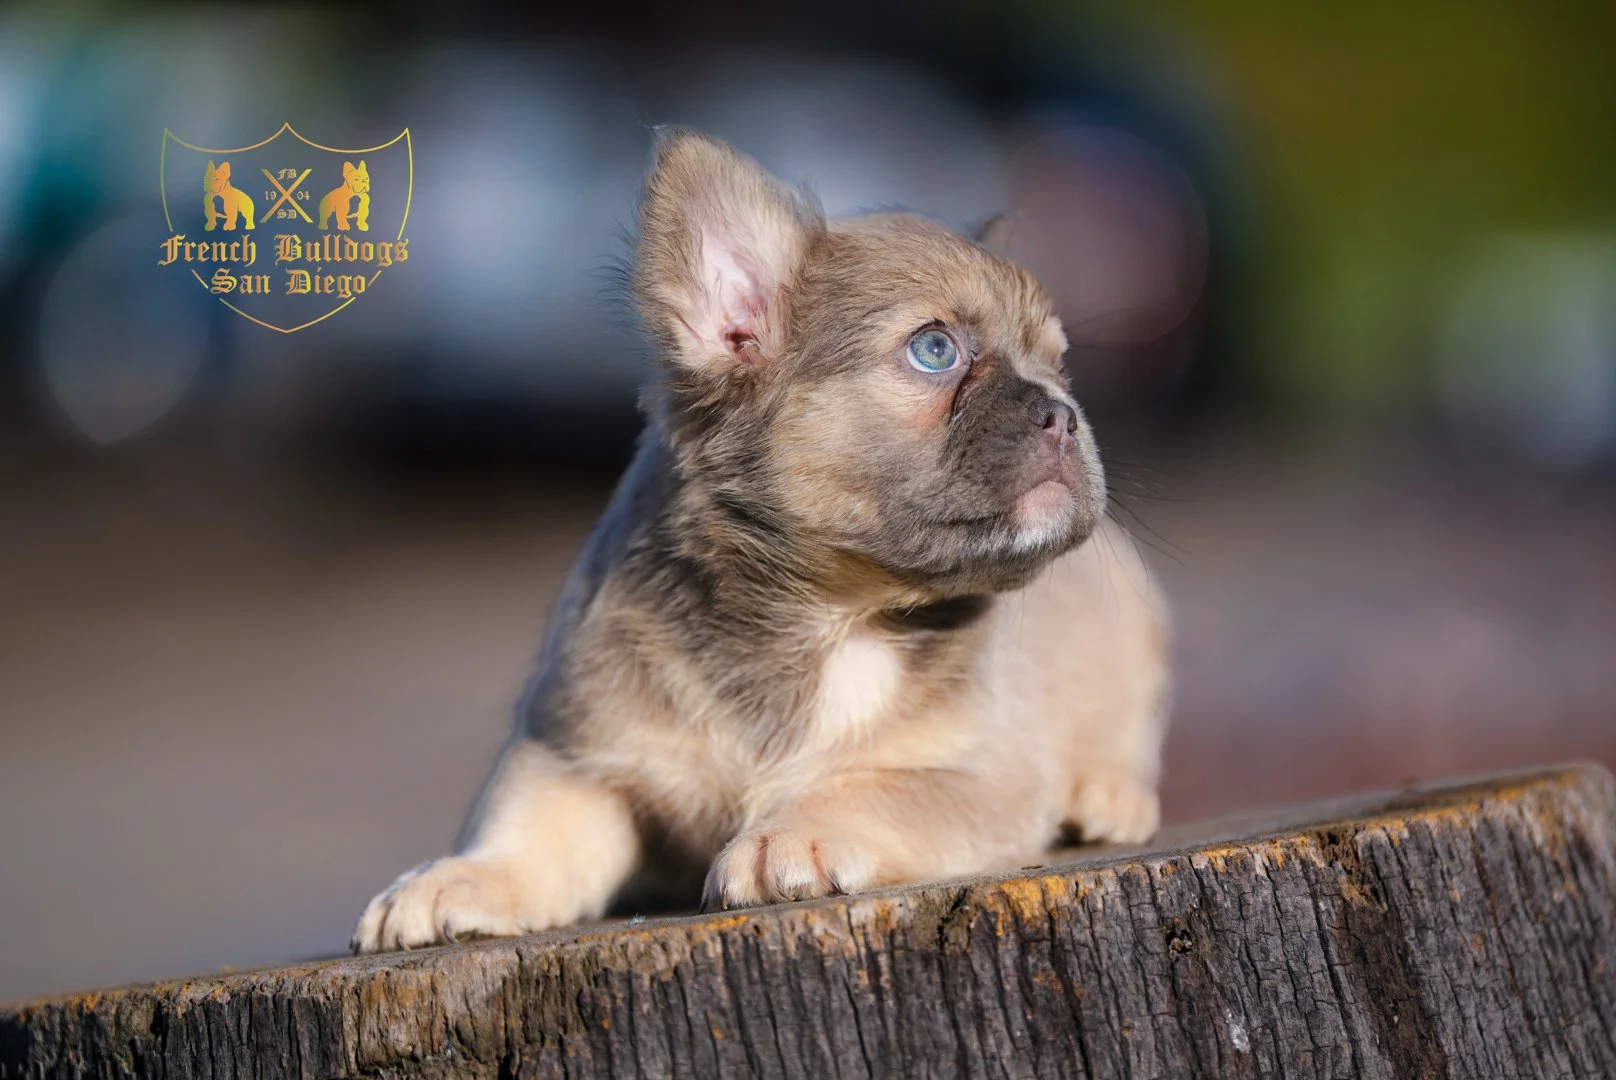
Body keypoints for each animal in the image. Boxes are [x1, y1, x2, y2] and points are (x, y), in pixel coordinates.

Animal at [352, 130, 1170, 952]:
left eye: (1060, 365)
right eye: (935, 350)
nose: (1064, 412)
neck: (827, 617)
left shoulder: (983, 779)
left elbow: (876, 788)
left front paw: (791, 835)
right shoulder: (575, 760)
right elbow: (526, 833)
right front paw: (462, 877)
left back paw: (1108, 793)